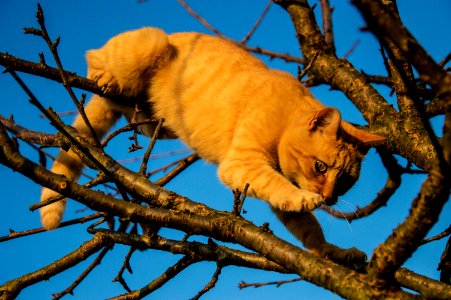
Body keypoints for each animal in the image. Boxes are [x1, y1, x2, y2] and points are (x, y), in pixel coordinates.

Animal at [40, 27, 384, 264]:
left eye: (346, 183)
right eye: (320, 167)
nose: (329, 198)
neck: (285, 117)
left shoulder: (268, 183)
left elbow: (308, 229)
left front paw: (332, 252)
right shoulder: (243, 164)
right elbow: (282, 188)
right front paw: (306, 199)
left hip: (158, 126)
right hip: (149, 43)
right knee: (93, 57)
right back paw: (106, 78)